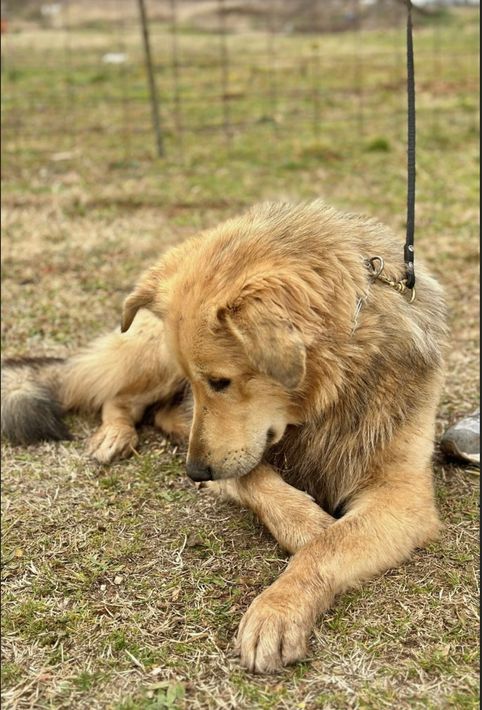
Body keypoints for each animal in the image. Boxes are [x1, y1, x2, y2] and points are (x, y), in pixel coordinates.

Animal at [2, 201, 447, 673]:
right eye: (207, 382)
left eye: (220, 381)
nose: (195, 473)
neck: (330, 395)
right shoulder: (233, 453)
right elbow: (263, 484)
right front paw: (306, 524)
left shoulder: (401, 496)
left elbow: (326, 548)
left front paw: (277, 608)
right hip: (156, 356)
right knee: (119, 396)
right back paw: (114, 434)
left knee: (160, 412)